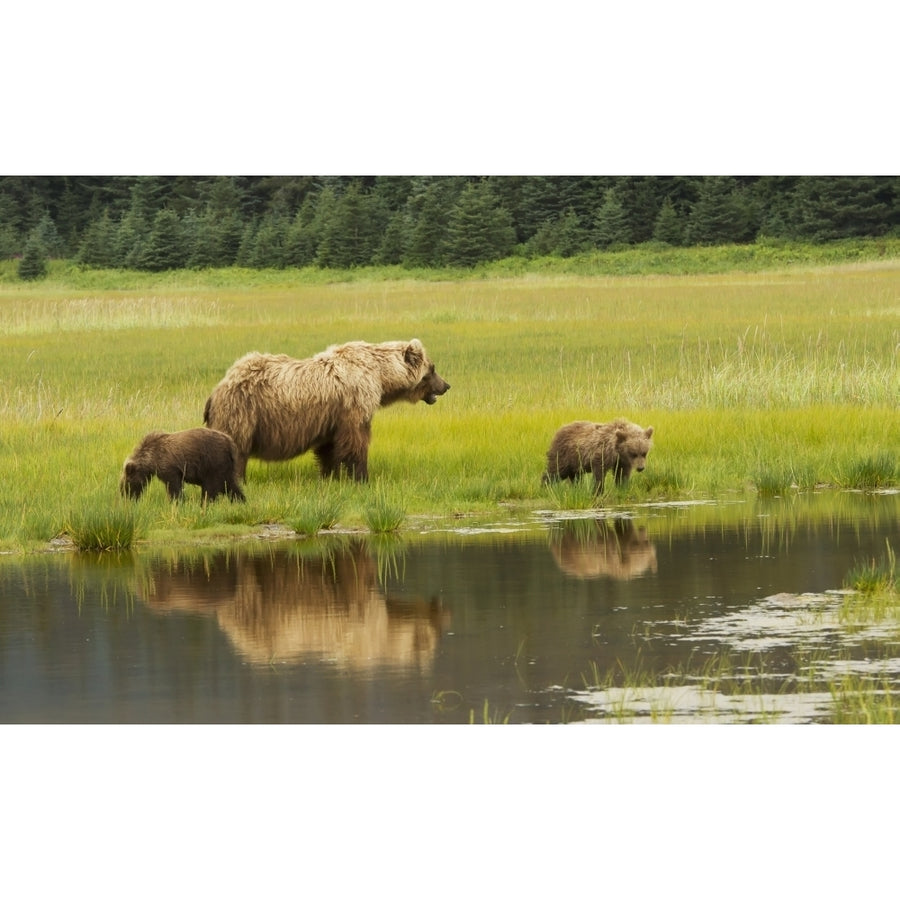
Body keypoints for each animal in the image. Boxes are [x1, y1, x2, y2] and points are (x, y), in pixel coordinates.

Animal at [200, 338, 446, 482]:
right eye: (432, 369)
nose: (446, 385)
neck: (380, 375)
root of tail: (217, 390)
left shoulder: (331, 416)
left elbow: (329, 447)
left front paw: (330, 476)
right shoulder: (355, 402)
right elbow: (356, 440)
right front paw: (362, 477)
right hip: (242, 411)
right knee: (235, 448)